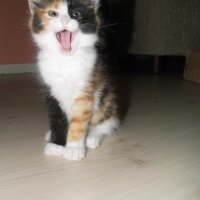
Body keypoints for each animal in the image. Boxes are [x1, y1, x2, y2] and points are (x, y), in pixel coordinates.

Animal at [27, 0, 119, 160]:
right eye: (52, 13)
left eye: (76, 14)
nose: (65, 20)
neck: (65, 61)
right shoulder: (50, 92)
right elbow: (57, 119)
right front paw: (56, 144)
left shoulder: (85, 90)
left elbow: (79, 121)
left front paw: (73, 149)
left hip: (107, 102)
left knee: (107, 123)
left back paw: (93, 137)